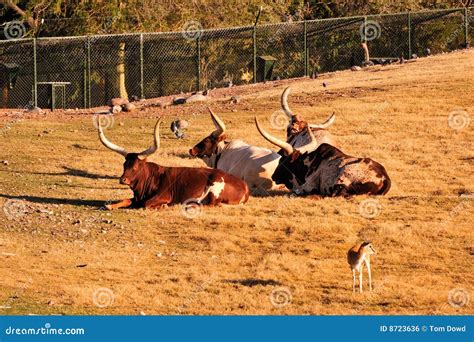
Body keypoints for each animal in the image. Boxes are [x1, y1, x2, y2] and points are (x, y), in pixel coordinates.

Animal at [98, 117, 250, 208]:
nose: (122, 180)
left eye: (135, 166)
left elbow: (146, 204)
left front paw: (163, 206)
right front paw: (110, 205)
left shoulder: (163, 196)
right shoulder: (136, 198)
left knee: (211, 204)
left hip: (214, 188)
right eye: (124, 165)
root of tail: (245, 186)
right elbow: (126, 200)